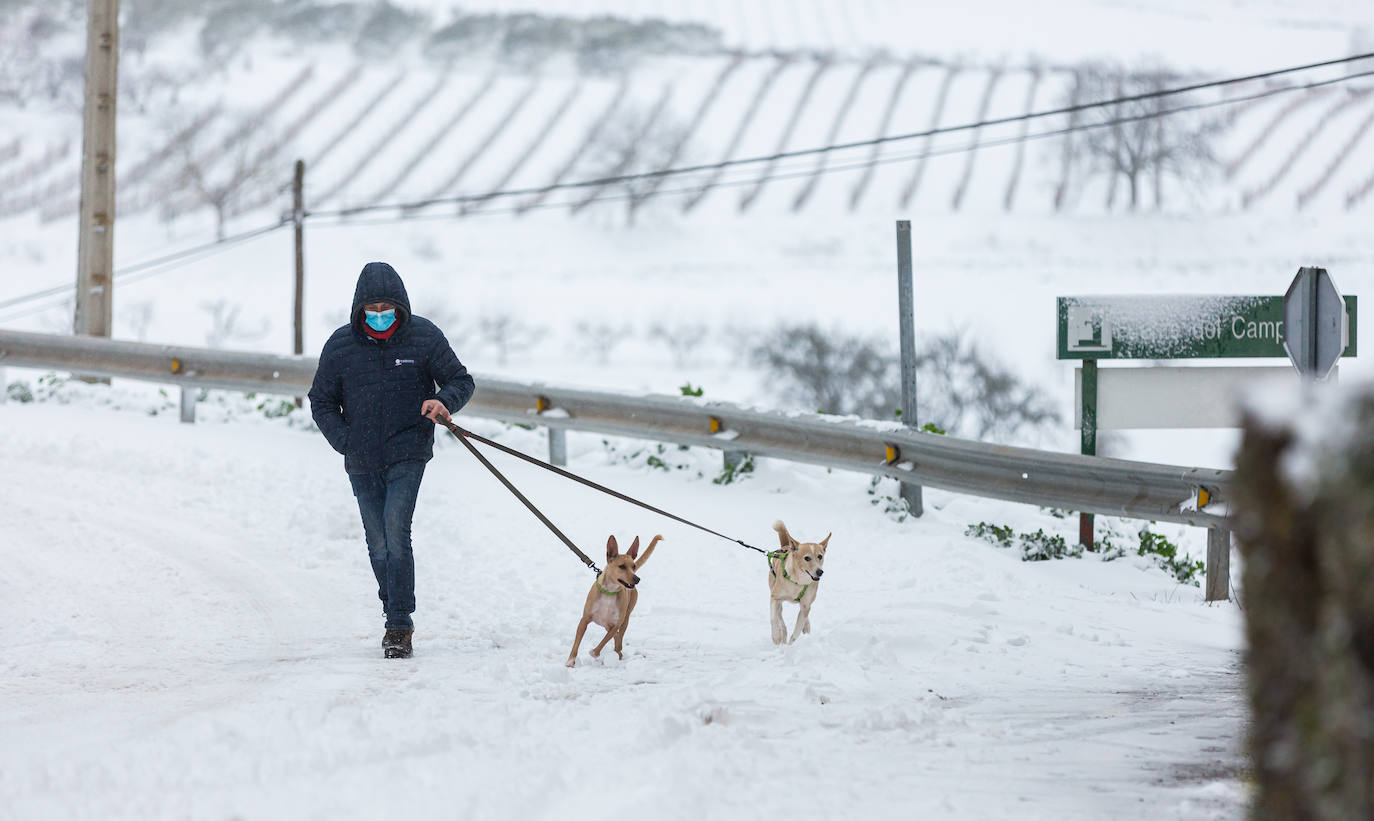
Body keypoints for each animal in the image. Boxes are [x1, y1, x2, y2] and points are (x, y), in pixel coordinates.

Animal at [563, 535, 659, 669]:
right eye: (622, 566)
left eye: (633, 566)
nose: (637, 579)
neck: (610, 592)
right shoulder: (584, 620)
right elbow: (576, 643)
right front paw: (570, 661)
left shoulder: (616, 624)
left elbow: (603, 642)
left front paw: (594, 652)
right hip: (608, 624)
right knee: (616, 637)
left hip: (625, 619)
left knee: (619, 637)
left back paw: (618, 652)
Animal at [769, 521, 829, 650]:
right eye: (807, 558)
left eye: (820, 556)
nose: (820, 572)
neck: (798, 581)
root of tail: (786, 546)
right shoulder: (774, 598)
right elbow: (773, 619)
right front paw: (776, 637)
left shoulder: (806, 604)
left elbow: (796, 631)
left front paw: (790, 646)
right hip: (777, 597)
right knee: (780, 617)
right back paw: (782, 633)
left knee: (804, 614)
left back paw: (806, 627)